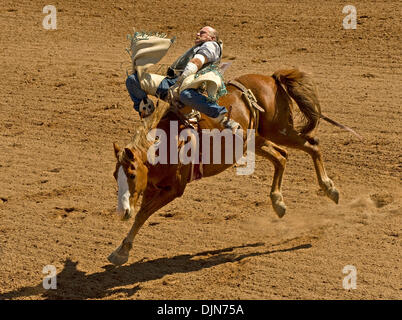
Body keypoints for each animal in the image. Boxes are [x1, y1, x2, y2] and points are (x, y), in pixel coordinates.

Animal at [108, 69, 350, 264]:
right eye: (114, 175)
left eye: (131, 174)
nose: (121, 212)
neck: (165, 144)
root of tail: (272, 78)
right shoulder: (151, 187)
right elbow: (141, 215)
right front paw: (121, 250)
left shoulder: (174, 189)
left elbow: (143, 214)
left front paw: (121, 252)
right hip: (255, 140)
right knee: (281, 157)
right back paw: (278, 202)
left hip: (280, 130)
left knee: (312, 145)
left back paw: (330, 188)